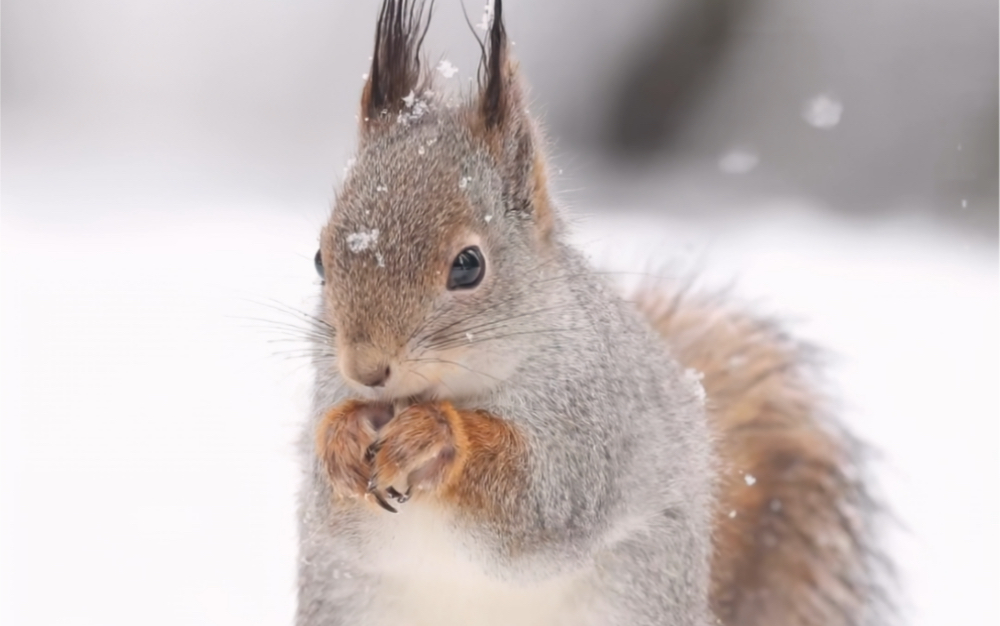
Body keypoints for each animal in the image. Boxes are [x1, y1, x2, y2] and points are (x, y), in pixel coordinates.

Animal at [294, 2, 884, 620]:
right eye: (319, 259)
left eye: (468, 266)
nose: (365, 369)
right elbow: (332, 507)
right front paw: (341, 439)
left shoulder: (593, 425)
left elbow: (539, 499)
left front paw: (434, 435)